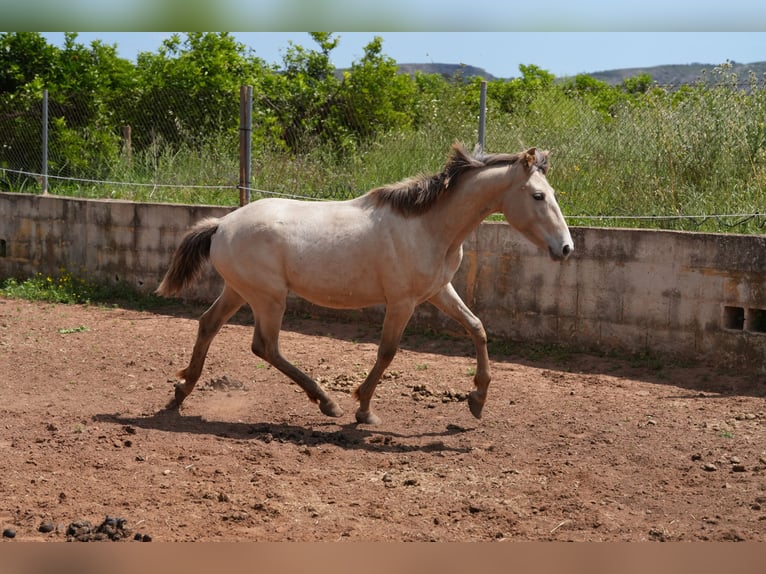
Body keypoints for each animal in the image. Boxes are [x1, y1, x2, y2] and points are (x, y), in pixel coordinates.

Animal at [156, 141, 573, 425]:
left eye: (553, 193)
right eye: (538, 195)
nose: (566, 248)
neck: (429, 227)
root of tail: (221, 225)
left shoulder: (438, 291)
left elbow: (478, 328)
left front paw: (478, 400)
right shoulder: (402, 301)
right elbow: (387, 351)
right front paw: (364, 409)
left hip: (241, 291)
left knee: (209, 325)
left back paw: (180, 393)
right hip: (268, 297)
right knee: (265, 346)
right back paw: (327, 402)